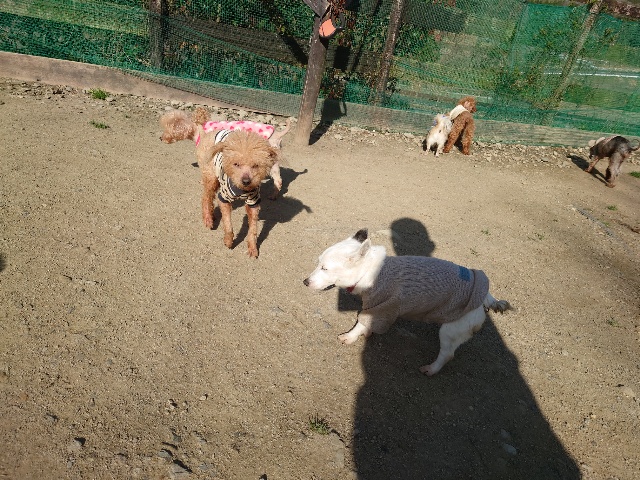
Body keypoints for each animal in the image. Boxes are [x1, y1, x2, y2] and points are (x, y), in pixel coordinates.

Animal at [160, 108, 287, 258]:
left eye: (256, 165)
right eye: (236, 164)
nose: (161, 138)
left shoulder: (253, 203)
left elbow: (253, 228)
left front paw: (252, 248)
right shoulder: (224, 197)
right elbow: (228, 223)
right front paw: (228, 240)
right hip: (211, 176)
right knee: (206, 197)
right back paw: (209, 218)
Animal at [303, 229, 511, 375]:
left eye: (325, 268)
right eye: (318, 263)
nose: (305, 281)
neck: (370, 270)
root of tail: (486, 295)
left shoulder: (381, 308)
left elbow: (360, 324)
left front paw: (351, 336)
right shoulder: (377, 311)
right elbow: (367, 325)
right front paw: (367, 333)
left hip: (451, 330)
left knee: (447, 354)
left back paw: (431, 369)